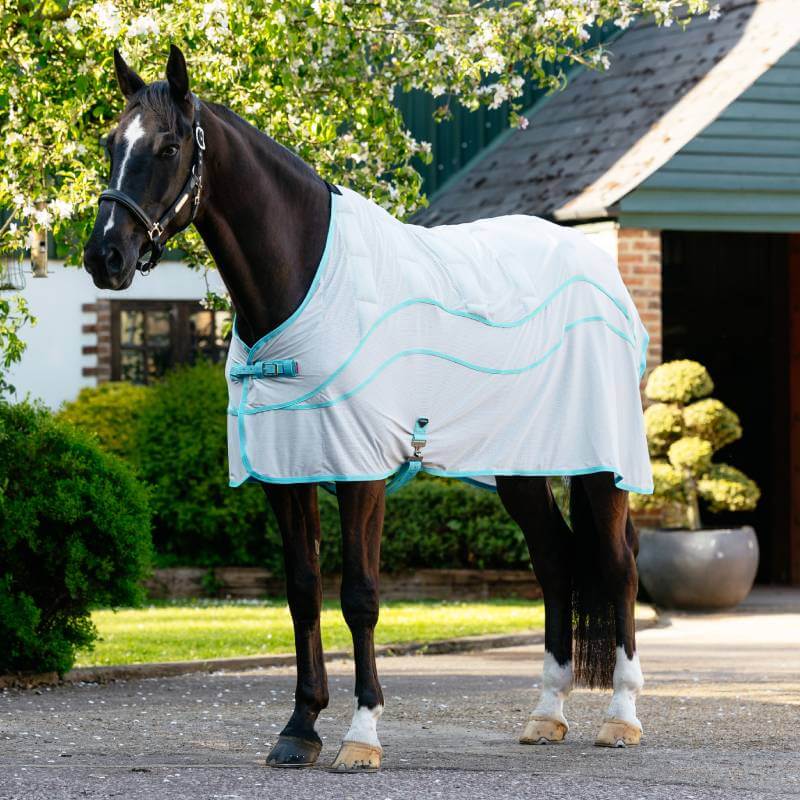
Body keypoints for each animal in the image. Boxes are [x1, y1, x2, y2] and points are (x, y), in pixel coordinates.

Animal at [83, 46, 647, 772]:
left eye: (169, 145)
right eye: (109, 142)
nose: (105, 256)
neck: (304, 280)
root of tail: (595, 263)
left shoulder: (362, 472)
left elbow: (359, 596)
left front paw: (361, 734)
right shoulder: (288, 472)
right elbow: (302, 591)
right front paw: (299, 727)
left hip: (602, 466)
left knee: (618, 565)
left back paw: (621, 718)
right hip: (520, 467)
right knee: (554, 561)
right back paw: (546, 714)